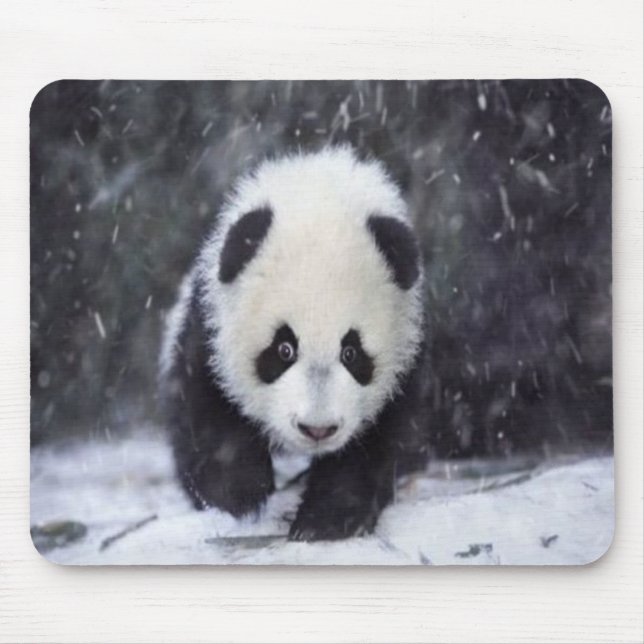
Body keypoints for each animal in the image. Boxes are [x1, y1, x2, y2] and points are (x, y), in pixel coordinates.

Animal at [159, 146, 430, 541]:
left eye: (351, 352)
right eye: (283, 349)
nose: (317, 429)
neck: (318, 186)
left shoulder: (407, 355)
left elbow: (378, 441)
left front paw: (328, 519)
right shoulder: (208, 325)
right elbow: (203, 408)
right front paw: (241, 492)